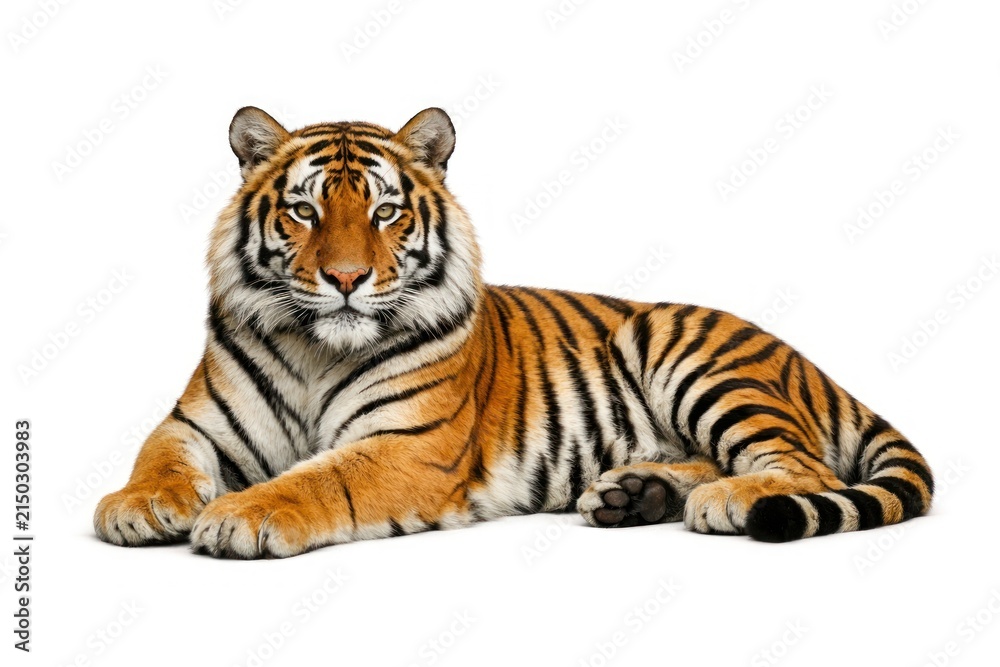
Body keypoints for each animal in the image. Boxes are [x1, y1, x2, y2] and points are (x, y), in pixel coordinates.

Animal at [94, 106, 934, 558]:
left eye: (385, 212)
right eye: (304, 211)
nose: (345, 278)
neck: (316, 346)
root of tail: (813, 365)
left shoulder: (406, 444)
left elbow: (317, 476)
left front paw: (240, 513)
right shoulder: (195, 422)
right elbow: (156, 456)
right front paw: (134, 506)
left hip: (679, 344)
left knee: (803, 464)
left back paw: (722, 499)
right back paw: (636, 492)